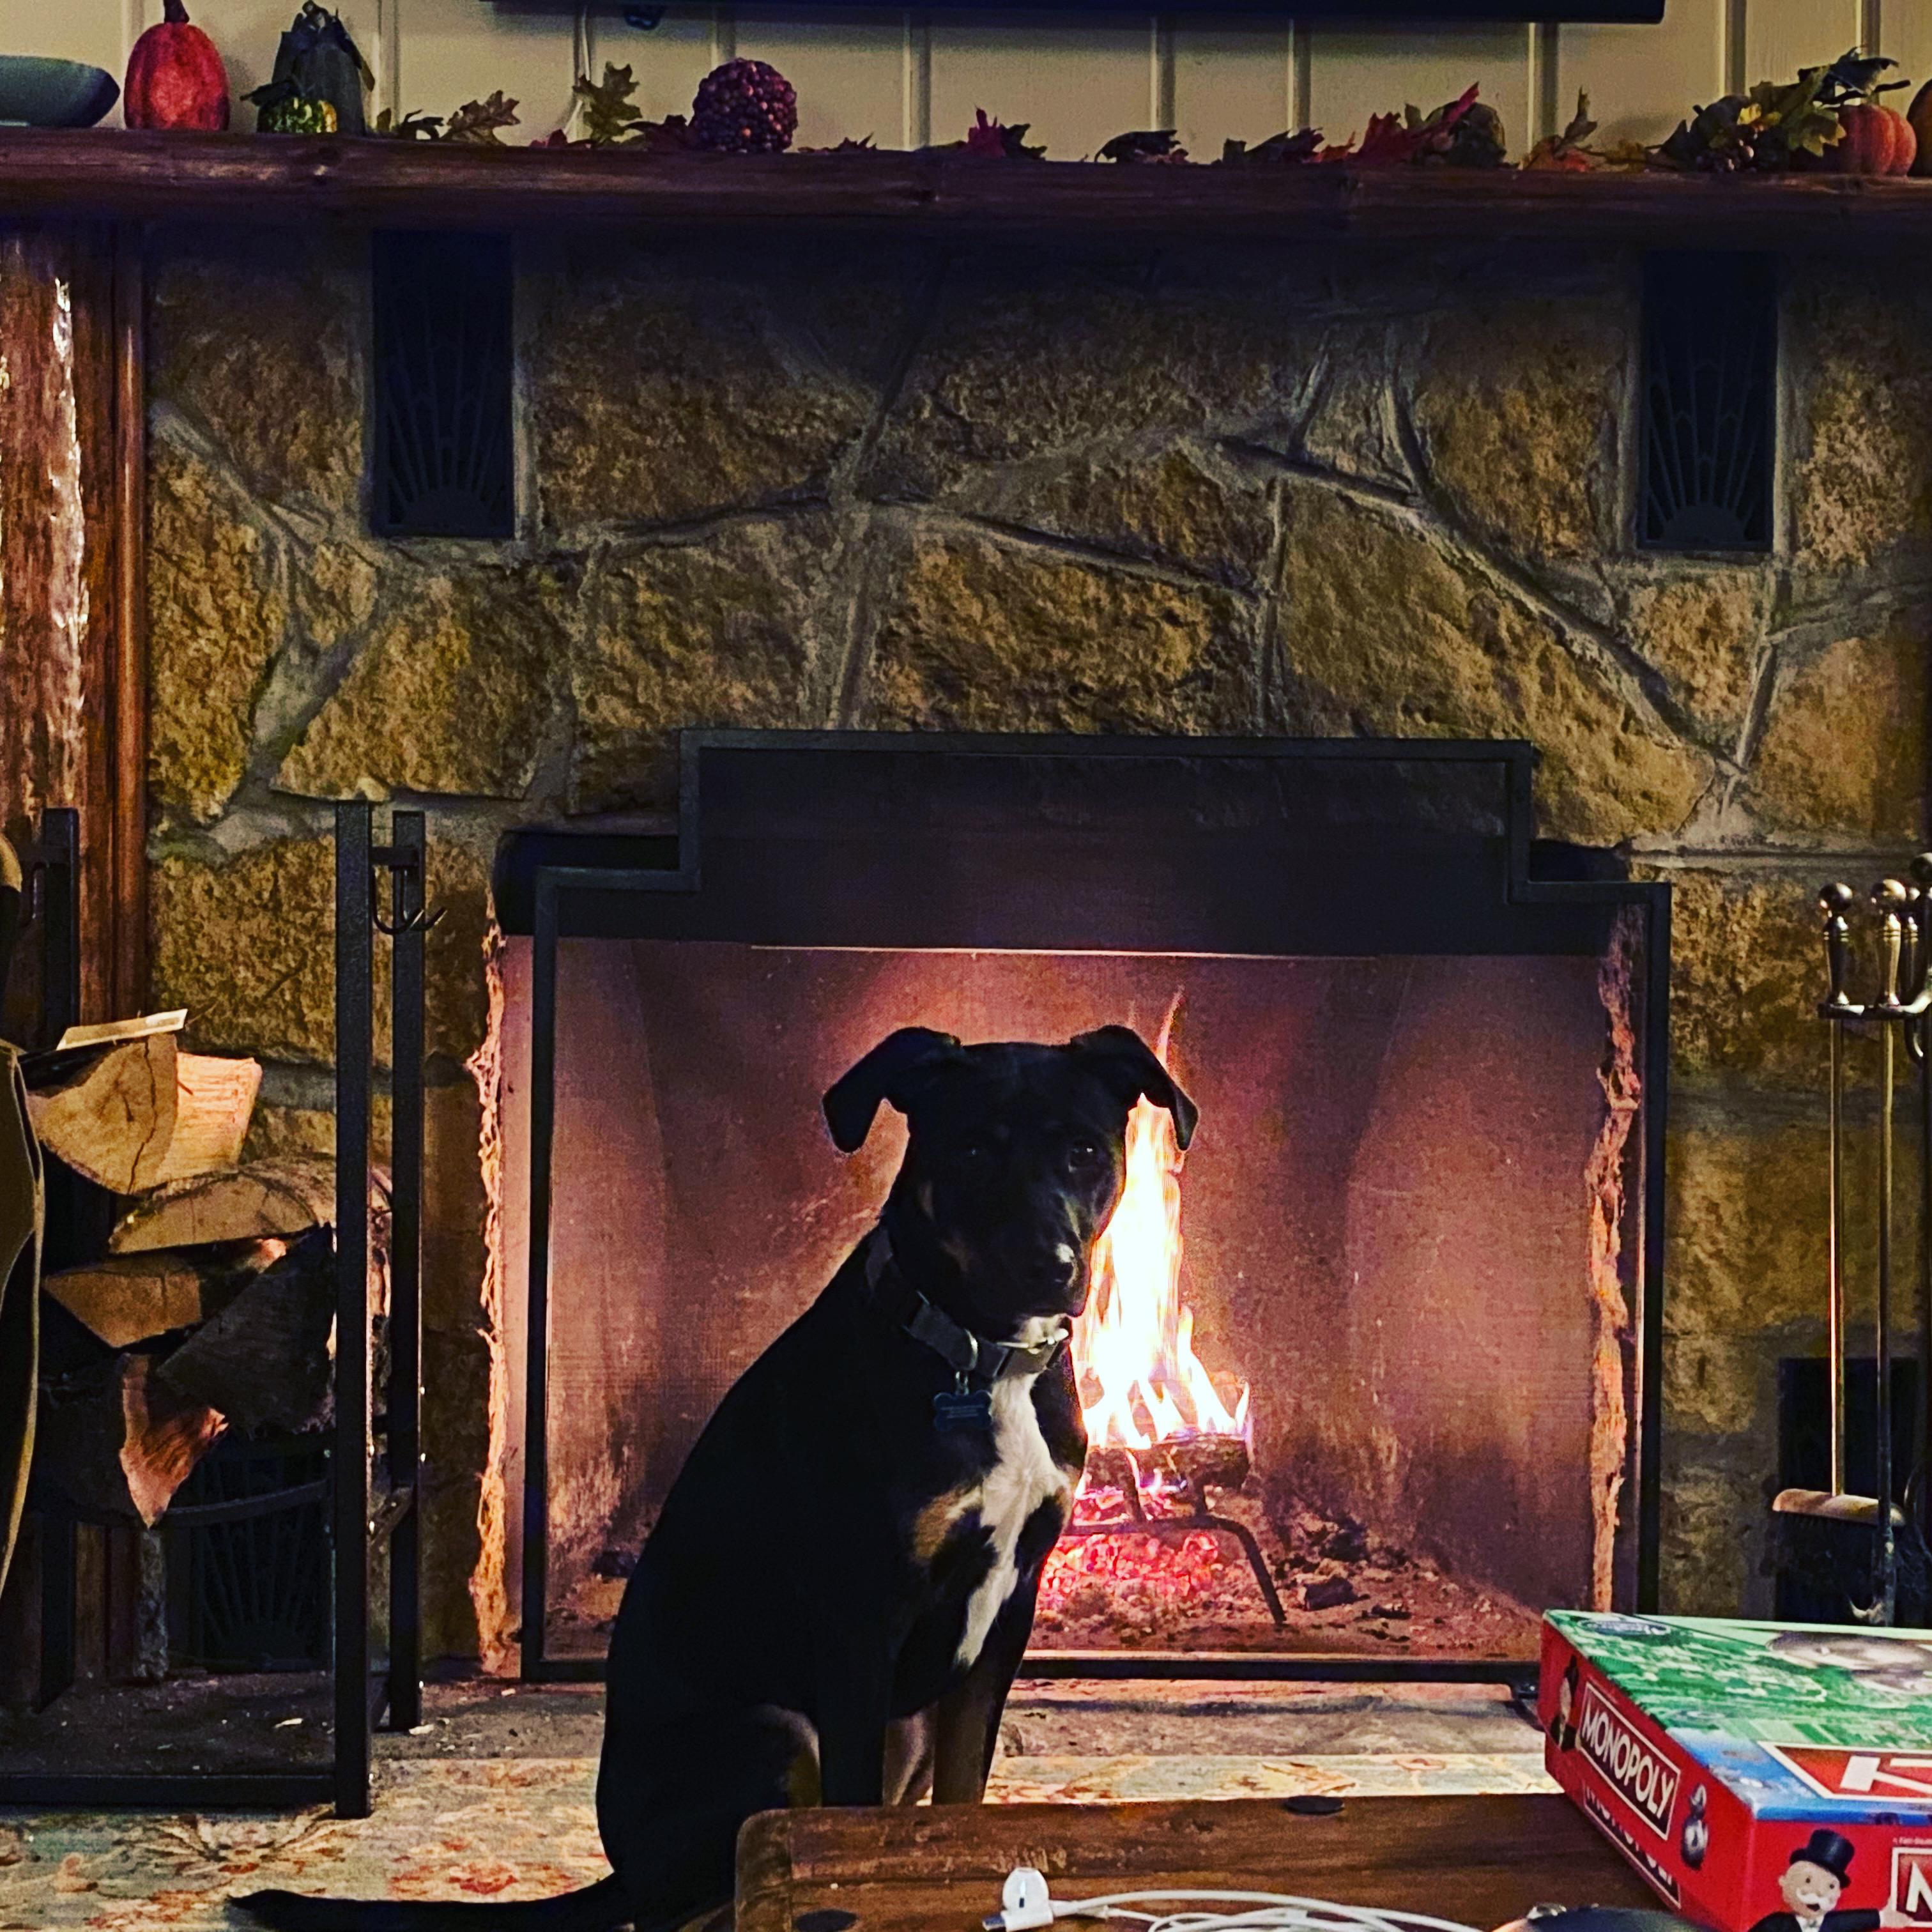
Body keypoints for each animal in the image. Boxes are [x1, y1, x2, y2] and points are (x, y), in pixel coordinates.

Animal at [236, 1024, 1196, 1932]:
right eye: (969, 1151)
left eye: (1083, 1151)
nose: (1050, 1266)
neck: (978, 1359)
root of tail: (628, 1867)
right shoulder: (863, 1619)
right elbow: (849, 1830)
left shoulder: (1007, 1612)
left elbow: (965, 1804)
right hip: (774, 1734)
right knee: (707, 1904)